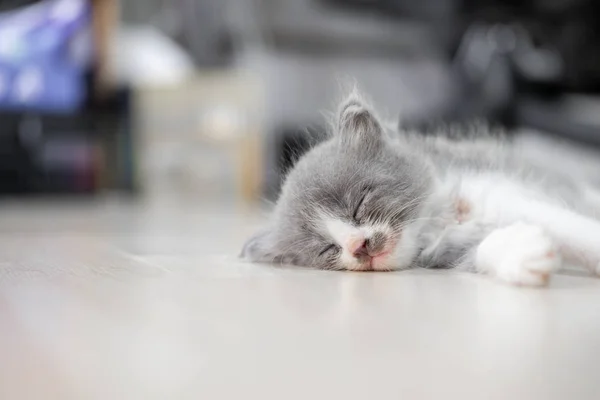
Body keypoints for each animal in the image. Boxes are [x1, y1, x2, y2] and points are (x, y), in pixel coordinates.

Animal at [241, 90, 600, 286]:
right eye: (327, 249)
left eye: (360, 201)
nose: (358, 246)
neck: (439, 222)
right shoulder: (448, 254)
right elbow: (482, 251)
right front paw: (523, 251)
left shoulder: (497, 190)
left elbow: (571, 228)